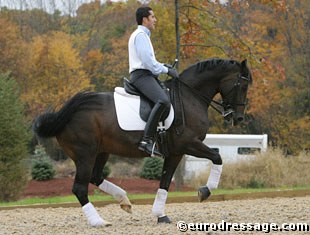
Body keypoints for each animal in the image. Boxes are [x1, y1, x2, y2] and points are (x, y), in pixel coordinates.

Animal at [33, 57, 252, 227]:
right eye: (242, 85)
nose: (239, 118)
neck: (190, 96)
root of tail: (68, 113)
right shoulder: (188, 144)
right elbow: (217, 157)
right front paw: (205, 191)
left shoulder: (175, 152)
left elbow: (165, 182)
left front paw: (160, 215)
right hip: (85, 154)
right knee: (80, 187)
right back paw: (98, 221)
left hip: (101, 151)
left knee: (95, 177)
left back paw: (124, 200)